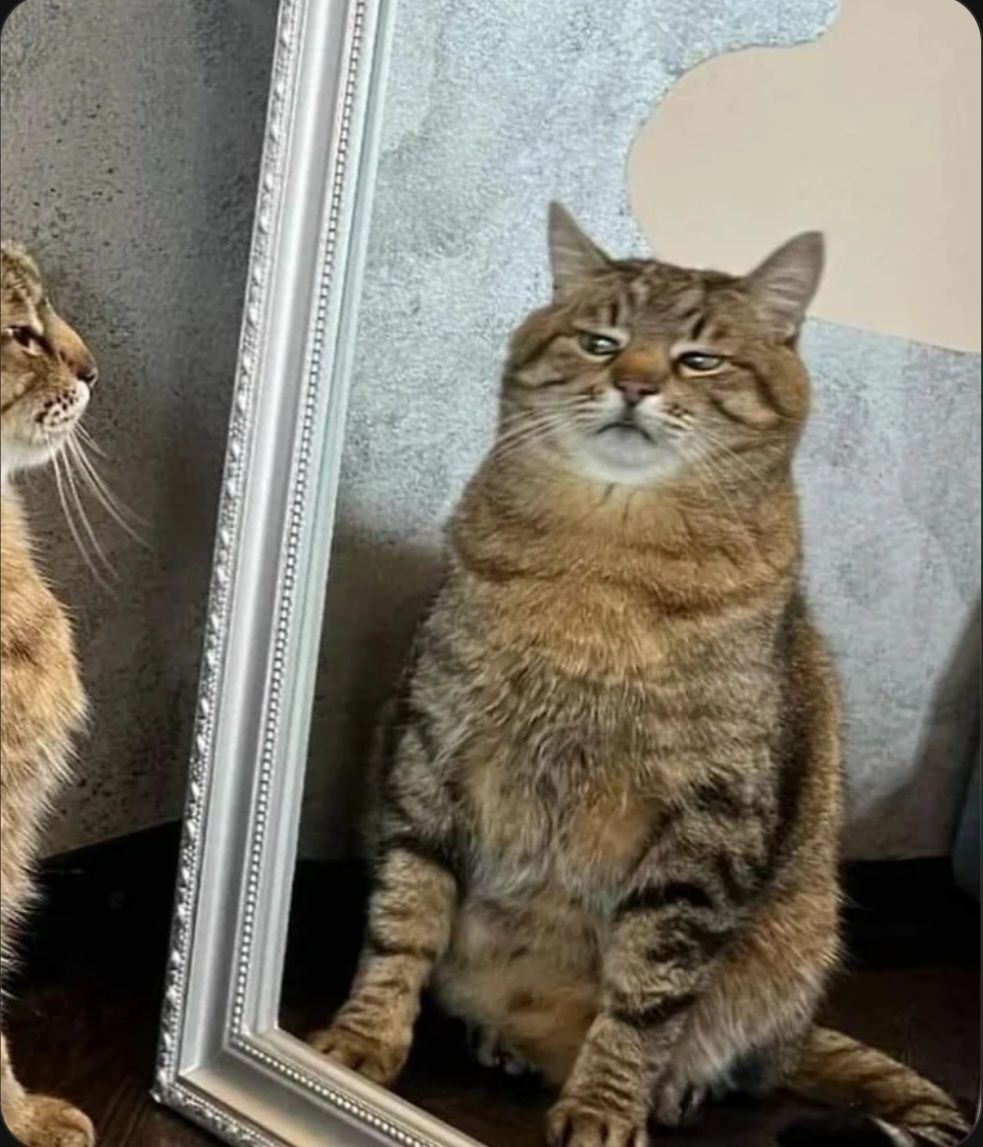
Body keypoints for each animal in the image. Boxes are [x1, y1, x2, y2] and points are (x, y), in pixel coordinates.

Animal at [309, 205, 970, 1147]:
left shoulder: (707, 825)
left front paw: (604, 1105)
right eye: (600, 340)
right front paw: (361, 1040)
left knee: (723, 1054)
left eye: (699, 358)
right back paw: (504, 1045)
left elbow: (647, 995)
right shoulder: (428, 752)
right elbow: (401, 920)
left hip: (792, 943)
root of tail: (800, 1030)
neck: (604, 566)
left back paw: (666, 1088)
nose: (633, 382)